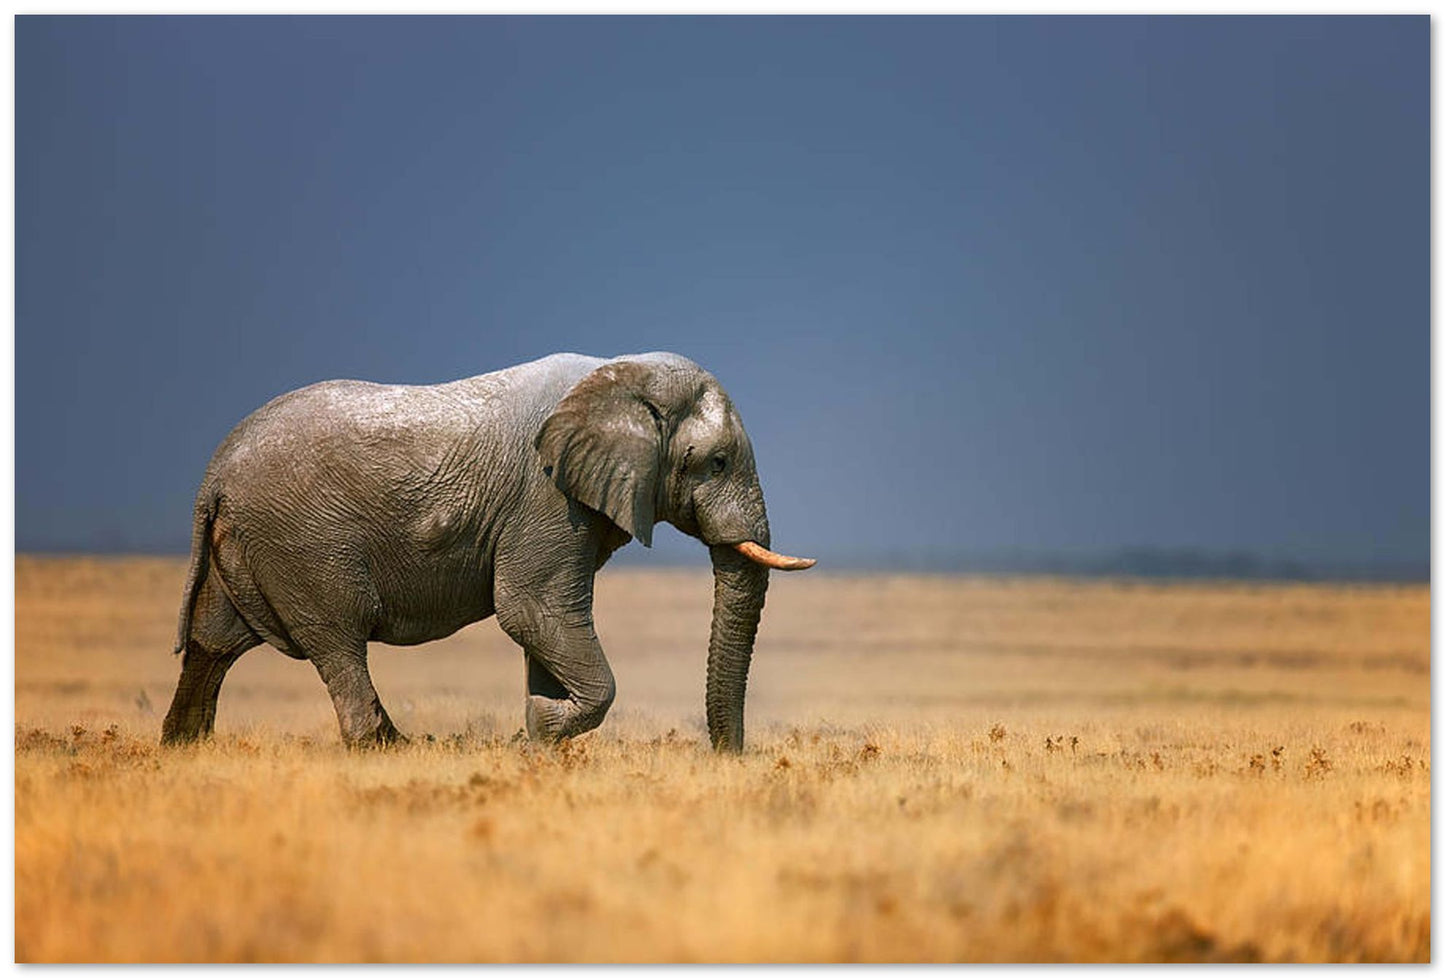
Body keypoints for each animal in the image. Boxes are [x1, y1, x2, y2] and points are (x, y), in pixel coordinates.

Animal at [160, 351, 815, 752]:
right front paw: (538, 733)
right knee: (337, 640)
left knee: (214, 642)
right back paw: (389, 750)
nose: (727, 760)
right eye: (718, 462)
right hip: (303, 542)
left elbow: (544, 625)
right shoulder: (544, 497)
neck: (621, 375)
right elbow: (530, 611)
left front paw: (537, 736)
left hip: (250, 543)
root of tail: (213, 475)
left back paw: (184, 749)